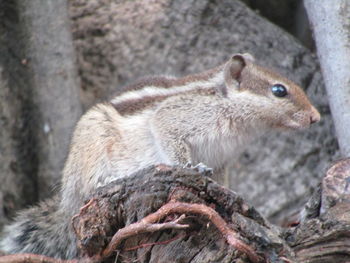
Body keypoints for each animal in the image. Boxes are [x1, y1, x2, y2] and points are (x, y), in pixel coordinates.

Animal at [0, 53, 320, 260]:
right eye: (279, 90)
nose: (316, 117)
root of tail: (65, 204)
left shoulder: (222, 159)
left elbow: (221, 179)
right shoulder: (173, 120)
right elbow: (171, 140)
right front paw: (191, 167)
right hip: (91, 149)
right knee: (87, 189)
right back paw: (109, 180)